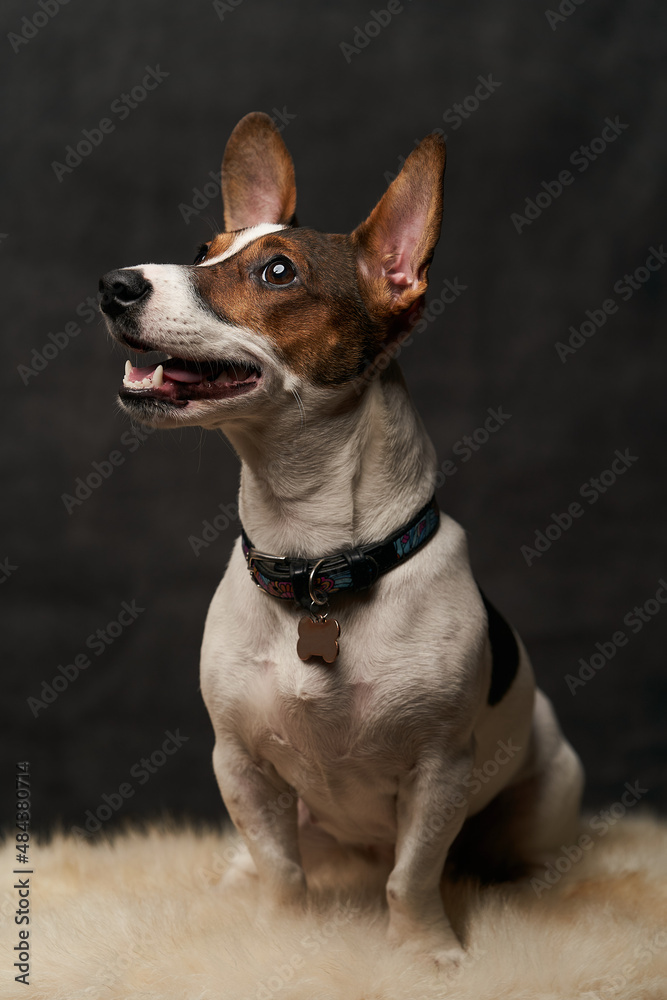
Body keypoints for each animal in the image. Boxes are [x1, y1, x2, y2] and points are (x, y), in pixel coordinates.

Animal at [99, 111, 584, 968]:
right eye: (203, 248)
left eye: (277, 272)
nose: (115, 285)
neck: (315, 559)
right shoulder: (241, 764)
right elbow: (280, 867)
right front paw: (279, 939)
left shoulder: (439, 772)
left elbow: (411, 875)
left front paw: (424, 952)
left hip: (552, 787)